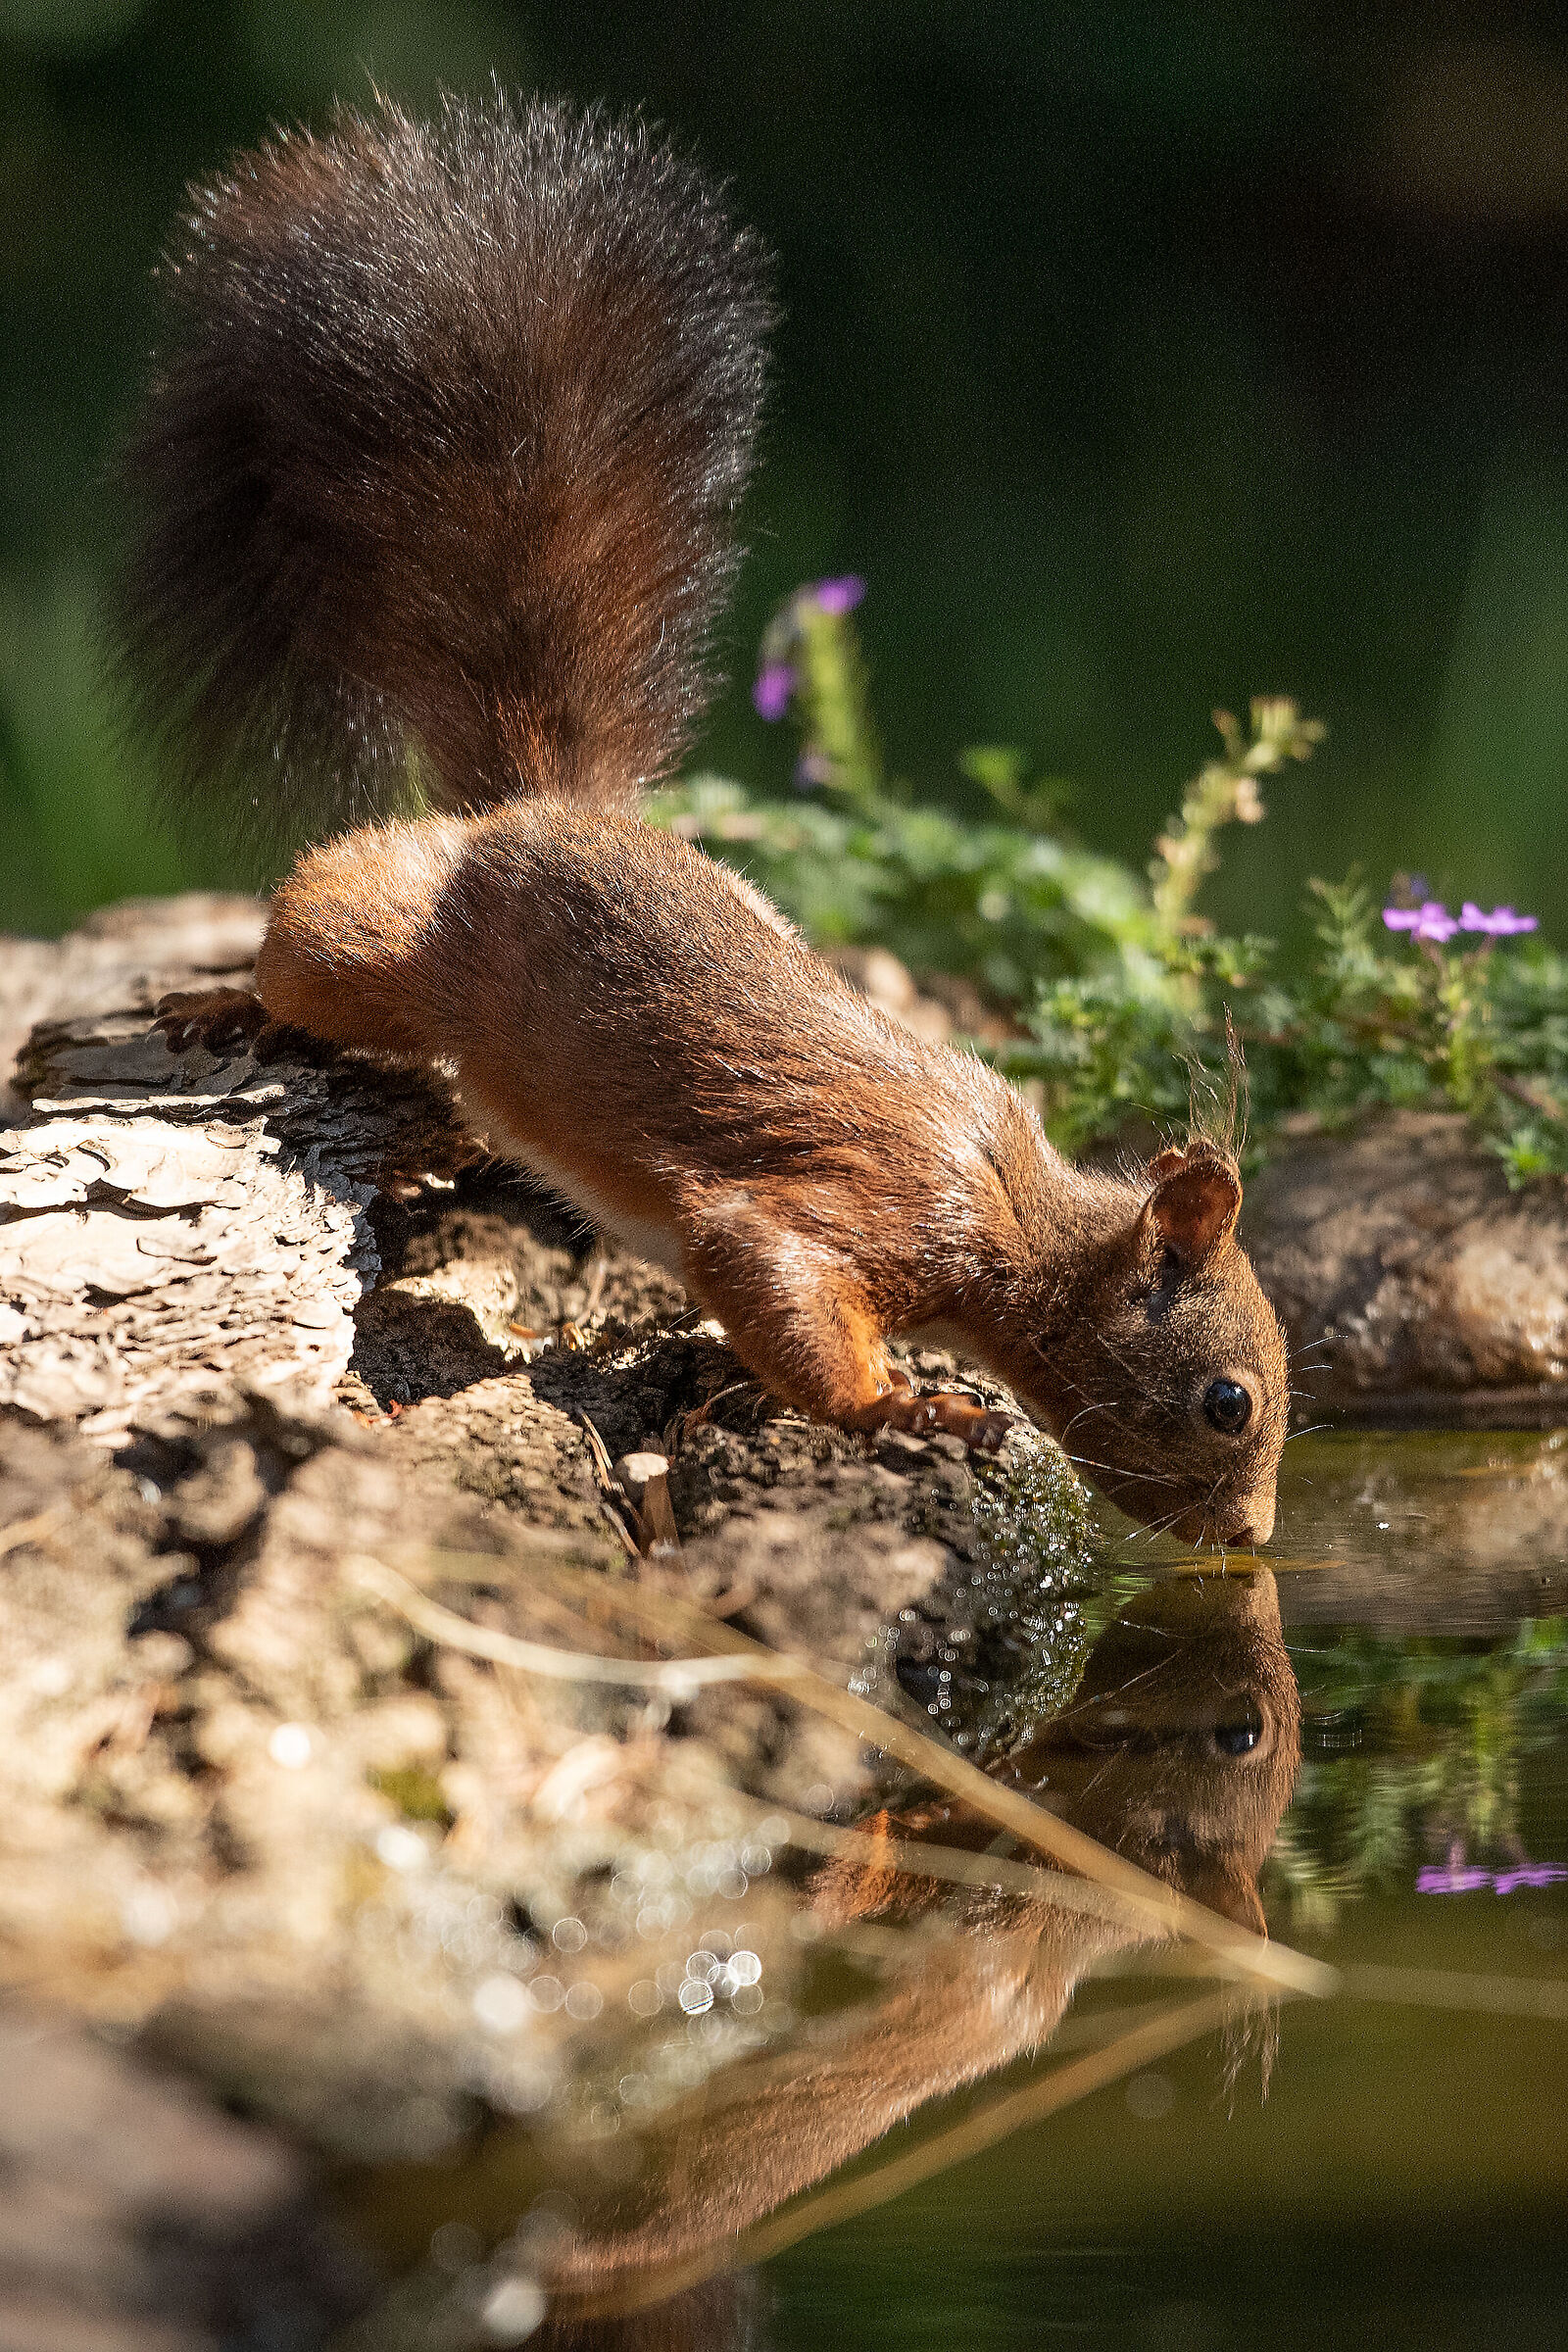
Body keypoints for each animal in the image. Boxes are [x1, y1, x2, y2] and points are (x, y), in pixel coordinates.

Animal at [117, 90, 1288, 1548]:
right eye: (1227, 1402)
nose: (1255, 1540)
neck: (1018, 1222)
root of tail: (549, 810)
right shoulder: (858, 1209)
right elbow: (764, 1267)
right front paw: (899, 1408)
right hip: (385, 956)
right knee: (318, 941)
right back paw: (225, 997)